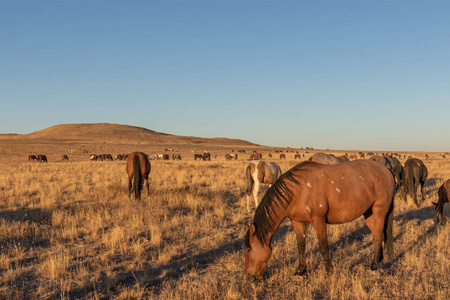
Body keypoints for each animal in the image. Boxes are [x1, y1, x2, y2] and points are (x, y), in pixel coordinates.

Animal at [244, 161, 396, 282]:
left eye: (248, 249)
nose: (249, 277)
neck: (297, 190)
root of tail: (386, 170)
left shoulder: (318, 221)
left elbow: (323, 246)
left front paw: (329, 272)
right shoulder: (297, 222)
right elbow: (301, 246)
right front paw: (301, 271)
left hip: (379, 212)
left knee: (378, 237)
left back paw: (374, 267)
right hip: (369, 214)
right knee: (377, 236)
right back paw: (379, 261)